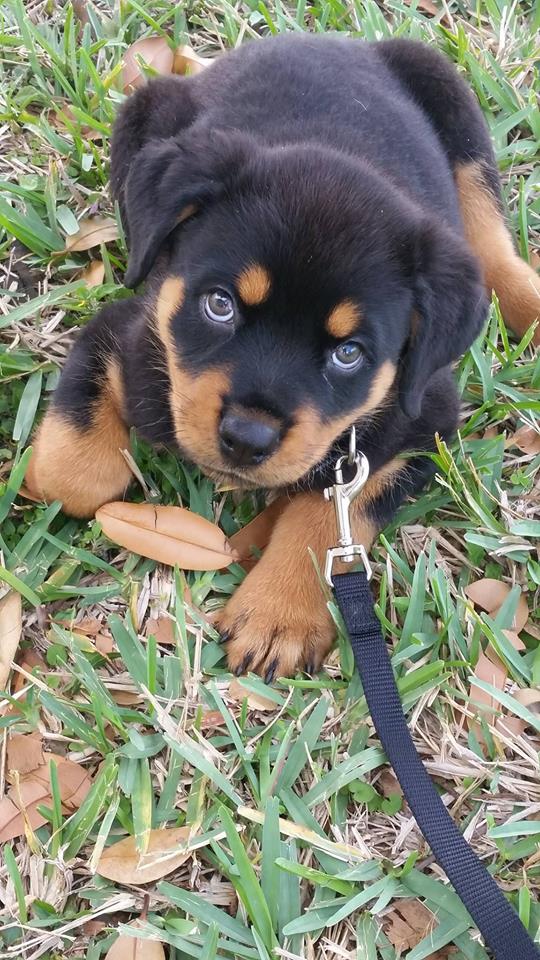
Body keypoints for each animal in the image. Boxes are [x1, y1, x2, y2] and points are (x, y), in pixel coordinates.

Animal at [28, 37, 540, 680]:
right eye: (219, 305)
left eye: (348, 353)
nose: (247, 439)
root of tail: (326, 40)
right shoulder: (128, 331)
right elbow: (73, 480)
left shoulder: (425, 421)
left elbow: (333, 513)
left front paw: (279, 615)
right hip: (142, 112)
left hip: (451, 98)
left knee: (488, 234)